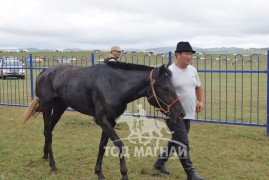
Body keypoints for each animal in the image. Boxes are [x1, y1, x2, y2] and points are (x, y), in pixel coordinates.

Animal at [22, 61, 184, 179]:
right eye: (165, 88)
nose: (181, 114)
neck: (114, 84)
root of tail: (44, 72)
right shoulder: (102, 120)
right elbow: (119, 144)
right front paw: (124, 174)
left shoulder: (110, 121)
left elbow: (102, 146)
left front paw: (99, 172)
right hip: (47, 108)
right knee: (48, 133)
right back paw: (53, 165)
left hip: (59, 108)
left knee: (48, 131)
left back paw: (45, 156)